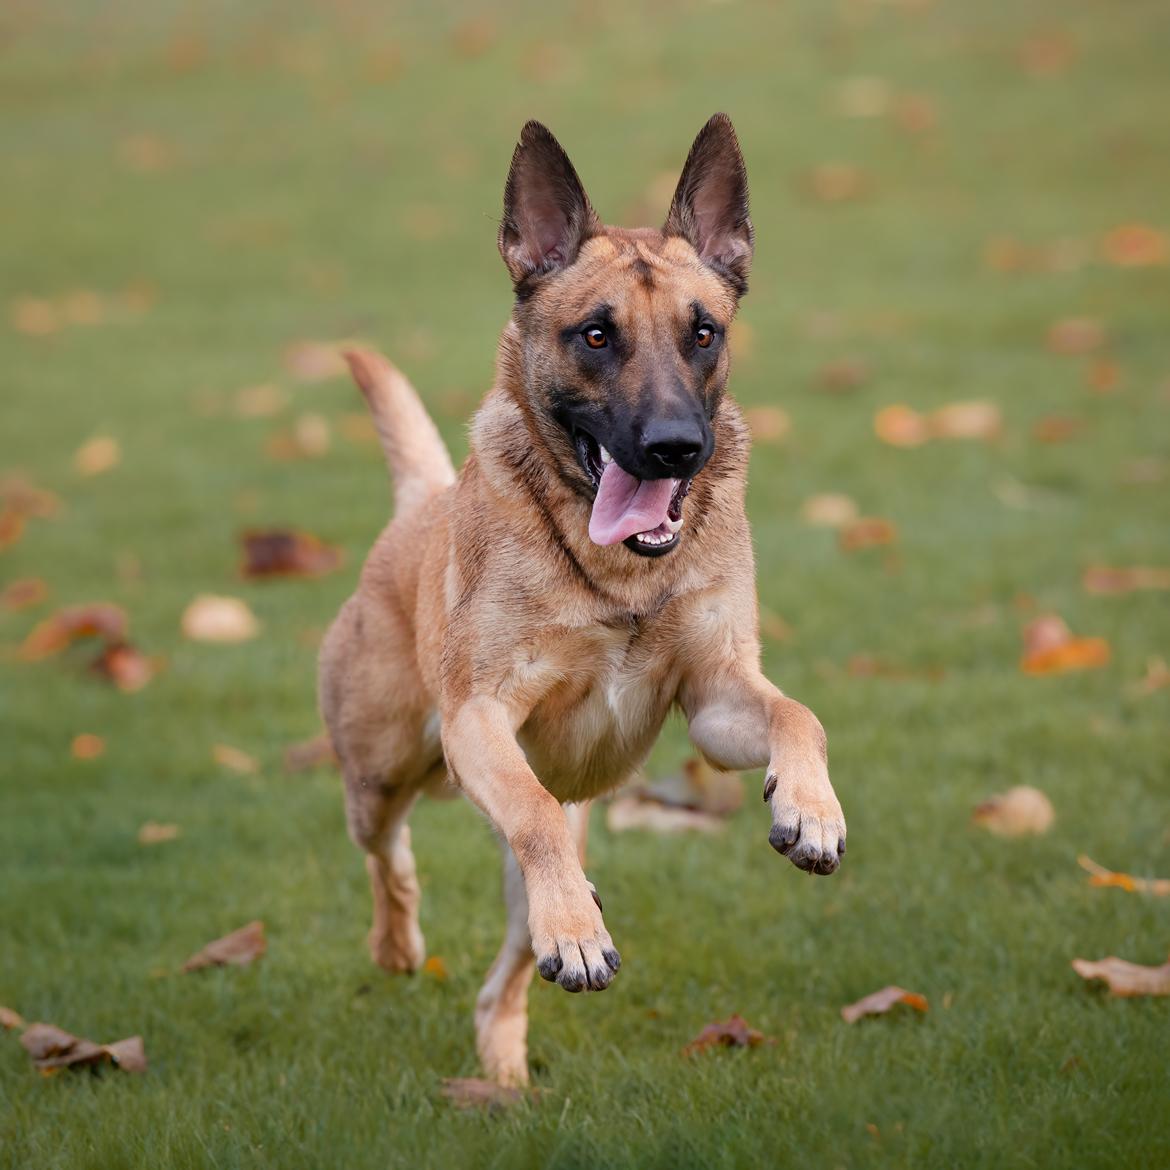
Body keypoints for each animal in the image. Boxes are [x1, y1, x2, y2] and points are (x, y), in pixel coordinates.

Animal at [320, 114, 847, 1081]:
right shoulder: (480, 719)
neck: (619, 575)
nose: (675, 447)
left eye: (704, 333)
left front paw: (810, 811)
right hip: (380, 768)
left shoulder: (716, 700)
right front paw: (572, 931)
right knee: (392, 851)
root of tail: (416, 510)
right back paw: (411, 944)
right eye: (596, 337)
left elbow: (800, 714)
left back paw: (504, 1070)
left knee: (501, 981)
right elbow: (531, 809)